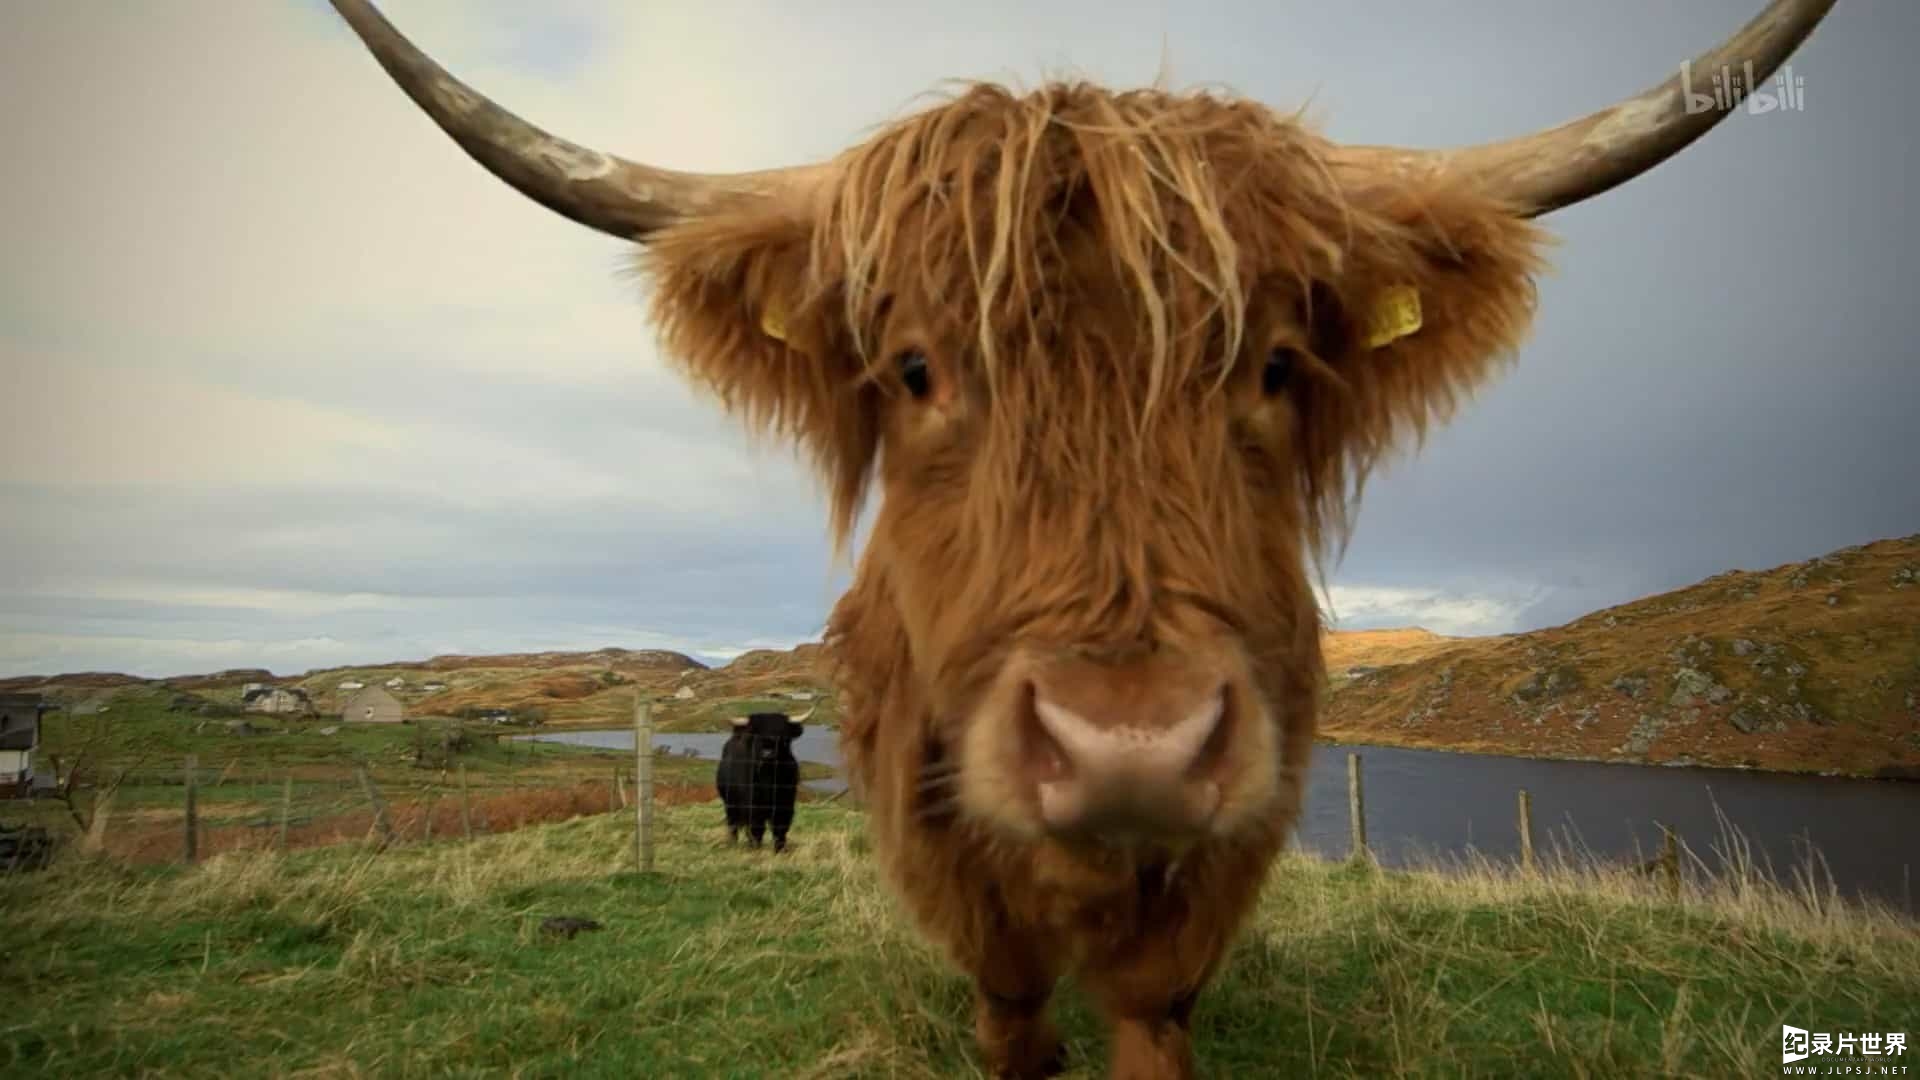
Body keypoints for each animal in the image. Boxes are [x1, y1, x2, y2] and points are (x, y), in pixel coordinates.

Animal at [721, 707, 810, 849]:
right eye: (756, 733)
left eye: (782, 733)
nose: (768, 753)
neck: (768, 779)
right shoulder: (753, 807)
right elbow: (756, 829)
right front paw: (756, 848)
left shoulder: (784, 805)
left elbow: (780, 829)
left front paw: (779, 849)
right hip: (730, 805)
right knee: (733, 826)